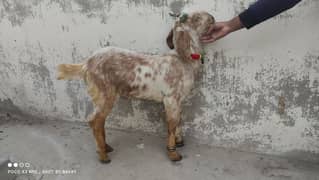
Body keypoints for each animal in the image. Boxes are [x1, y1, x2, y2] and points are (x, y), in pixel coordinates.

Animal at [57, 11, 216, 163]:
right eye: (196, 18)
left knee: (98, 120)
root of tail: (86, 64)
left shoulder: (179, 100)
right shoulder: (170, 98)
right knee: (94, 121)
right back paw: (103, 155)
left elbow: (179, 120)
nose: (212, 18)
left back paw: (106, 147)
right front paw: (173, 153)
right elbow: (171, 124)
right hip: (104, 92)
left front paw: (179, 141)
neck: (184, 61)